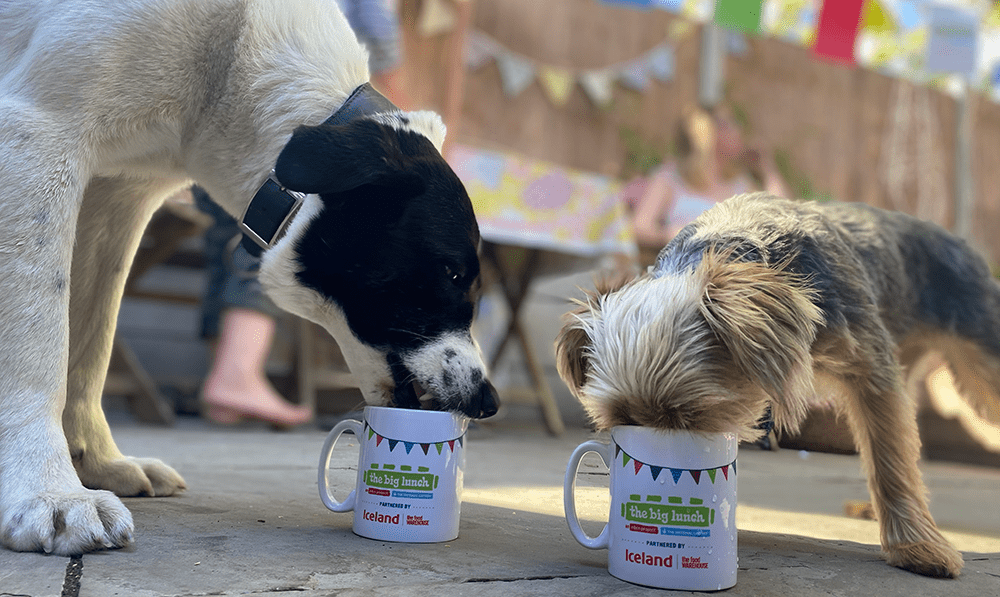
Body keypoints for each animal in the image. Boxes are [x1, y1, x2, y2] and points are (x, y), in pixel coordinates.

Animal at [0, 0, 498, 556]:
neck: (229, 59)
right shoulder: (37, 138)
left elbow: (91, 346)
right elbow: (40, 345)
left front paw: (98, 463)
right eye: (453, 273)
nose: (489, 401)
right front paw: (49, 493)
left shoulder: (120, 193)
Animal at [556, 193, 1000, 576]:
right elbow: (892, 442)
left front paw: (916, 546)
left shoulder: (871, 366)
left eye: (690, 417)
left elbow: (889, 456)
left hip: (981, 349)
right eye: (619, 419)